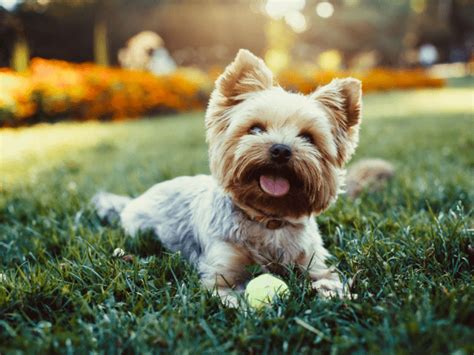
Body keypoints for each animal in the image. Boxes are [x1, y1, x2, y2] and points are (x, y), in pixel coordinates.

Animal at [93, 48, 366, 308]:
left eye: (308, 137)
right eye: (255, 128)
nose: (281, 150)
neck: (268, 220)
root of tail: (134, 200)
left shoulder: (313, 262)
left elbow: (327, 279)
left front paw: (335, 295)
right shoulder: (222, 271)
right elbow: (230, 295)